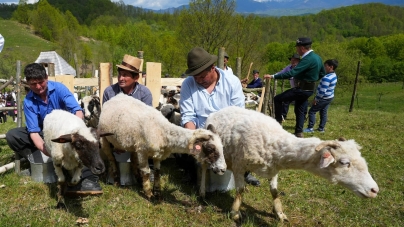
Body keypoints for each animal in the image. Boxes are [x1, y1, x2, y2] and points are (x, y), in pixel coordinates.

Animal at [96, 93, 226, 200]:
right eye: (210, 148)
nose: (223, 169)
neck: (163, 131)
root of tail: (116, 96)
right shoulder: (142, 151)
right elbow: (146, 172)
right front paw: (149, 194)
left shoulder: (157, 154)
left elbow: (158, 171)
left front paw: (157, 193)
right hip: (104, 139)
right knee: (111, 159)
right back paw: (116, 180)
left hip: (133, 144)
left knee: (133, 159)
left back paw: (137, 178)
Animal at [204, 106, 380, 222]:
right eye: (344, 162)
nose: (374, 190)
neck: (274, 142)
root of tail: (220, 109)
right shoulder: (239, 165)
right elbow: (240, 190)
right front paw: (235, 212)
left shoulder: (273, 169)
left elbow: (274, 192)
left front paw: (279, 213)